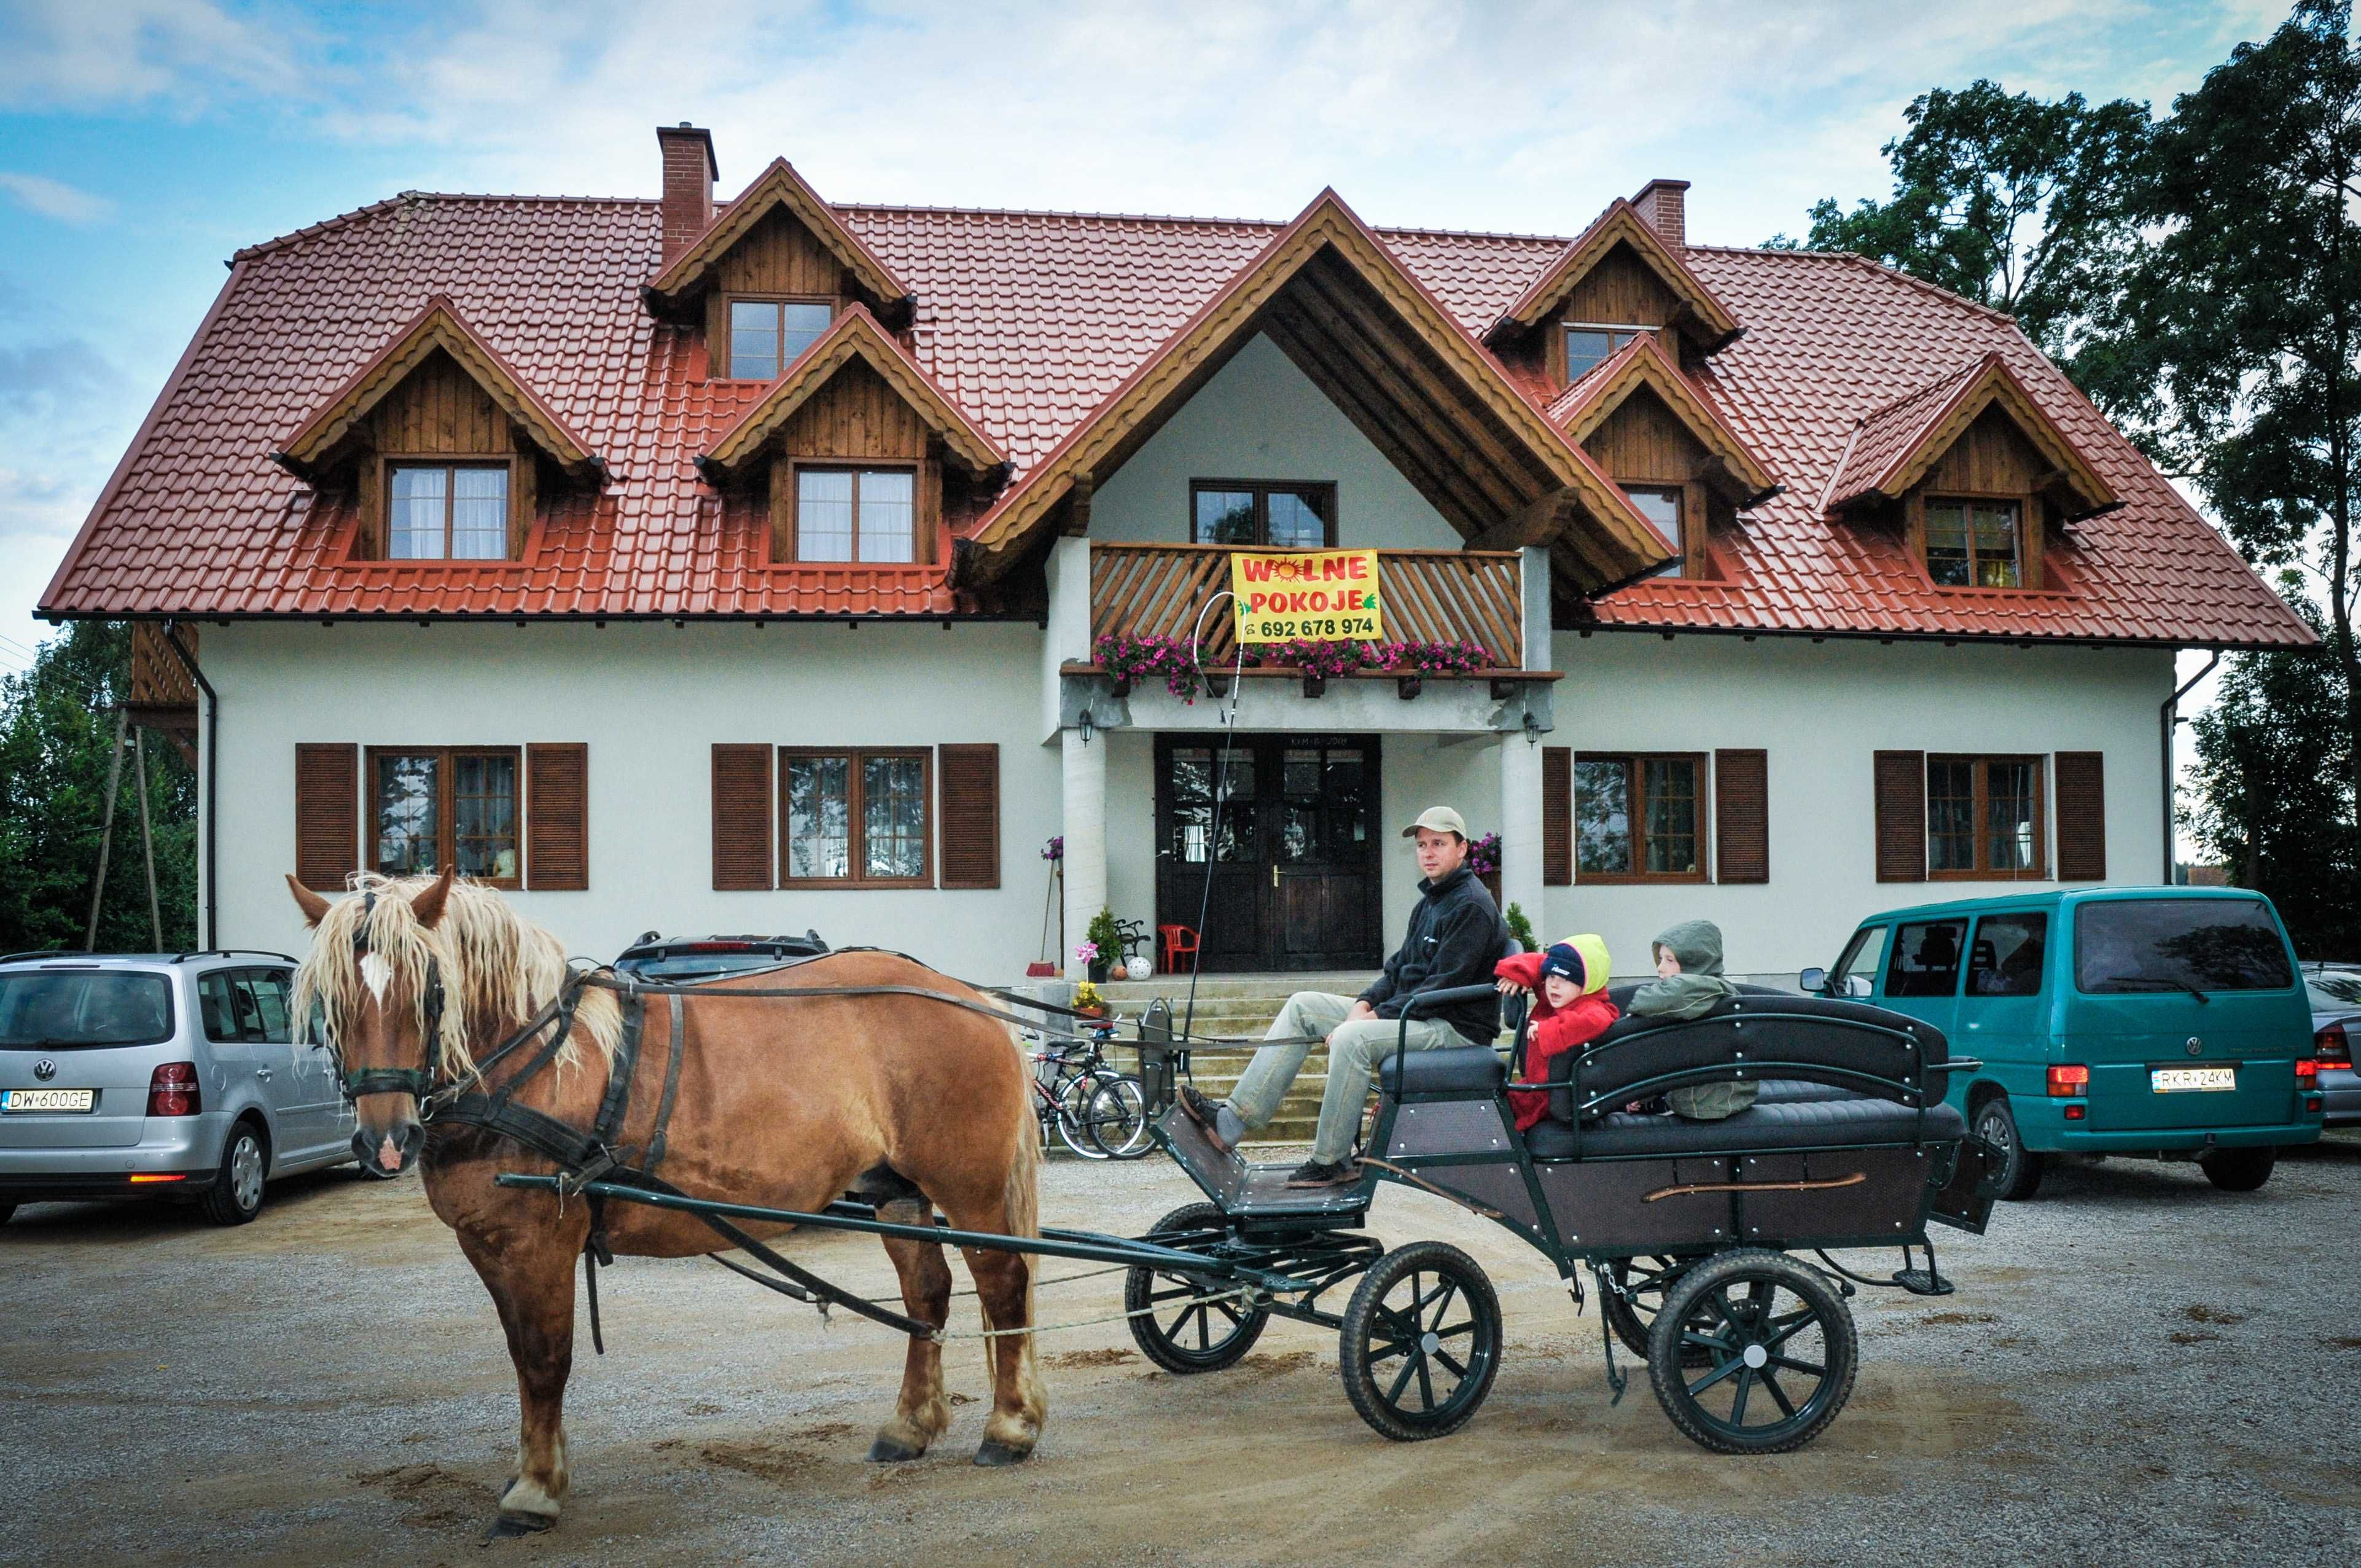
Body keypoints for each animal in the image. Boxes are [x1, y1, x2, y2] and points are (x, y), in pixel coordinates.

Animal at [287, 864, 1044, 1539]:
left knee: (1002, 1283)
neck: (534, 1064)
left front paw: (533, 1491)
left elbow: (544, 1359)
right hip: (895, 1189)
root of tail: (969, 997)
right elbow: (521, 1356)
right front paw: (535, 1469)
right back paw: (910, 1427)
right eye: (333, 998)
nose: (386, 1141)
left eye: (429, 989)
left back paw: (1009, 1427)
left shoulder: (541, 1242)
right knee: (927, 1294)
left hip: (968, 1186)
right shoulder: (487, 1244)